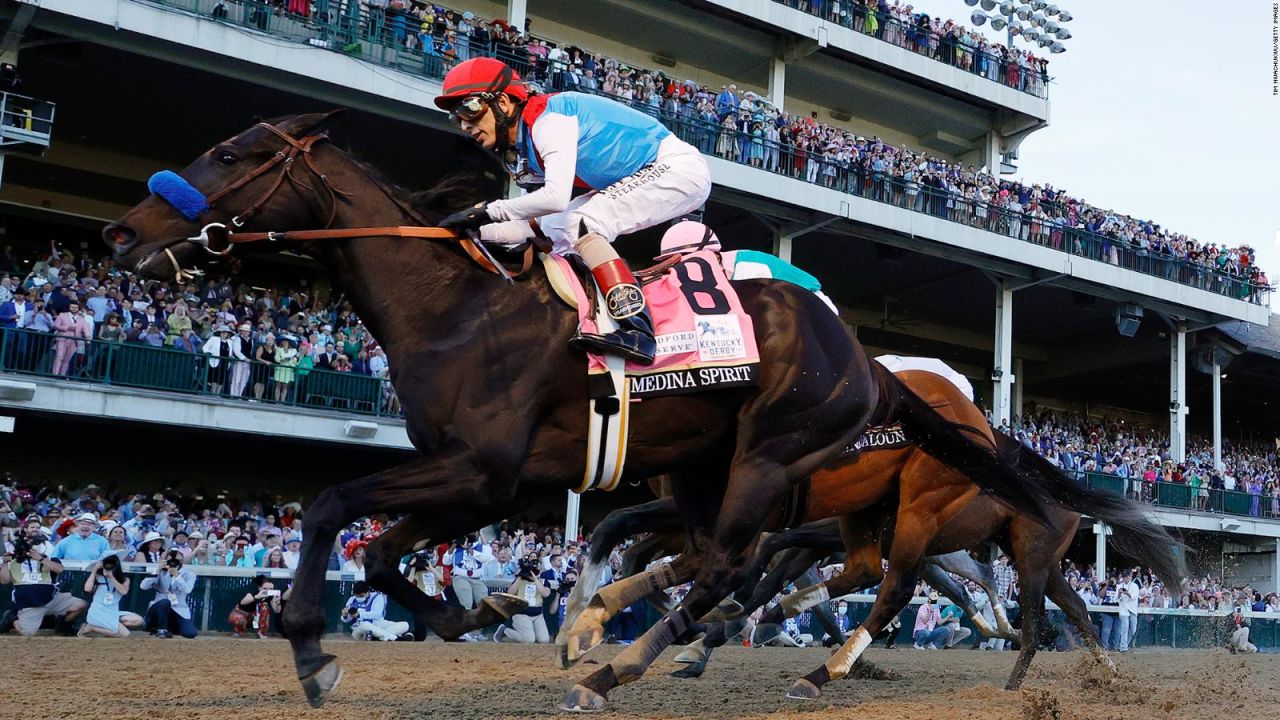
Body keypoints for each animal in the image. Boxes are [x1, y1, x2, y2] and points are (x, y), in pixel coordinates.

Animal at [102, 113, 1059, 707]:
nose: (122, 232)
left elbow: (331, 506)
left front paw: (310, 648)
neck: (455, 311)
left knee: (755, 569)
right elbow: (376, 553)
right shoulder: (475, 481)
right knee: (757, 564)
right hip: (724, 472)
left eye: (230, 155)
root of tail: (866, 360)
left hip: (781, 464)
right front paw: (475, 613)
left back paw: (621, 669)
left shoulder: (482, 472)